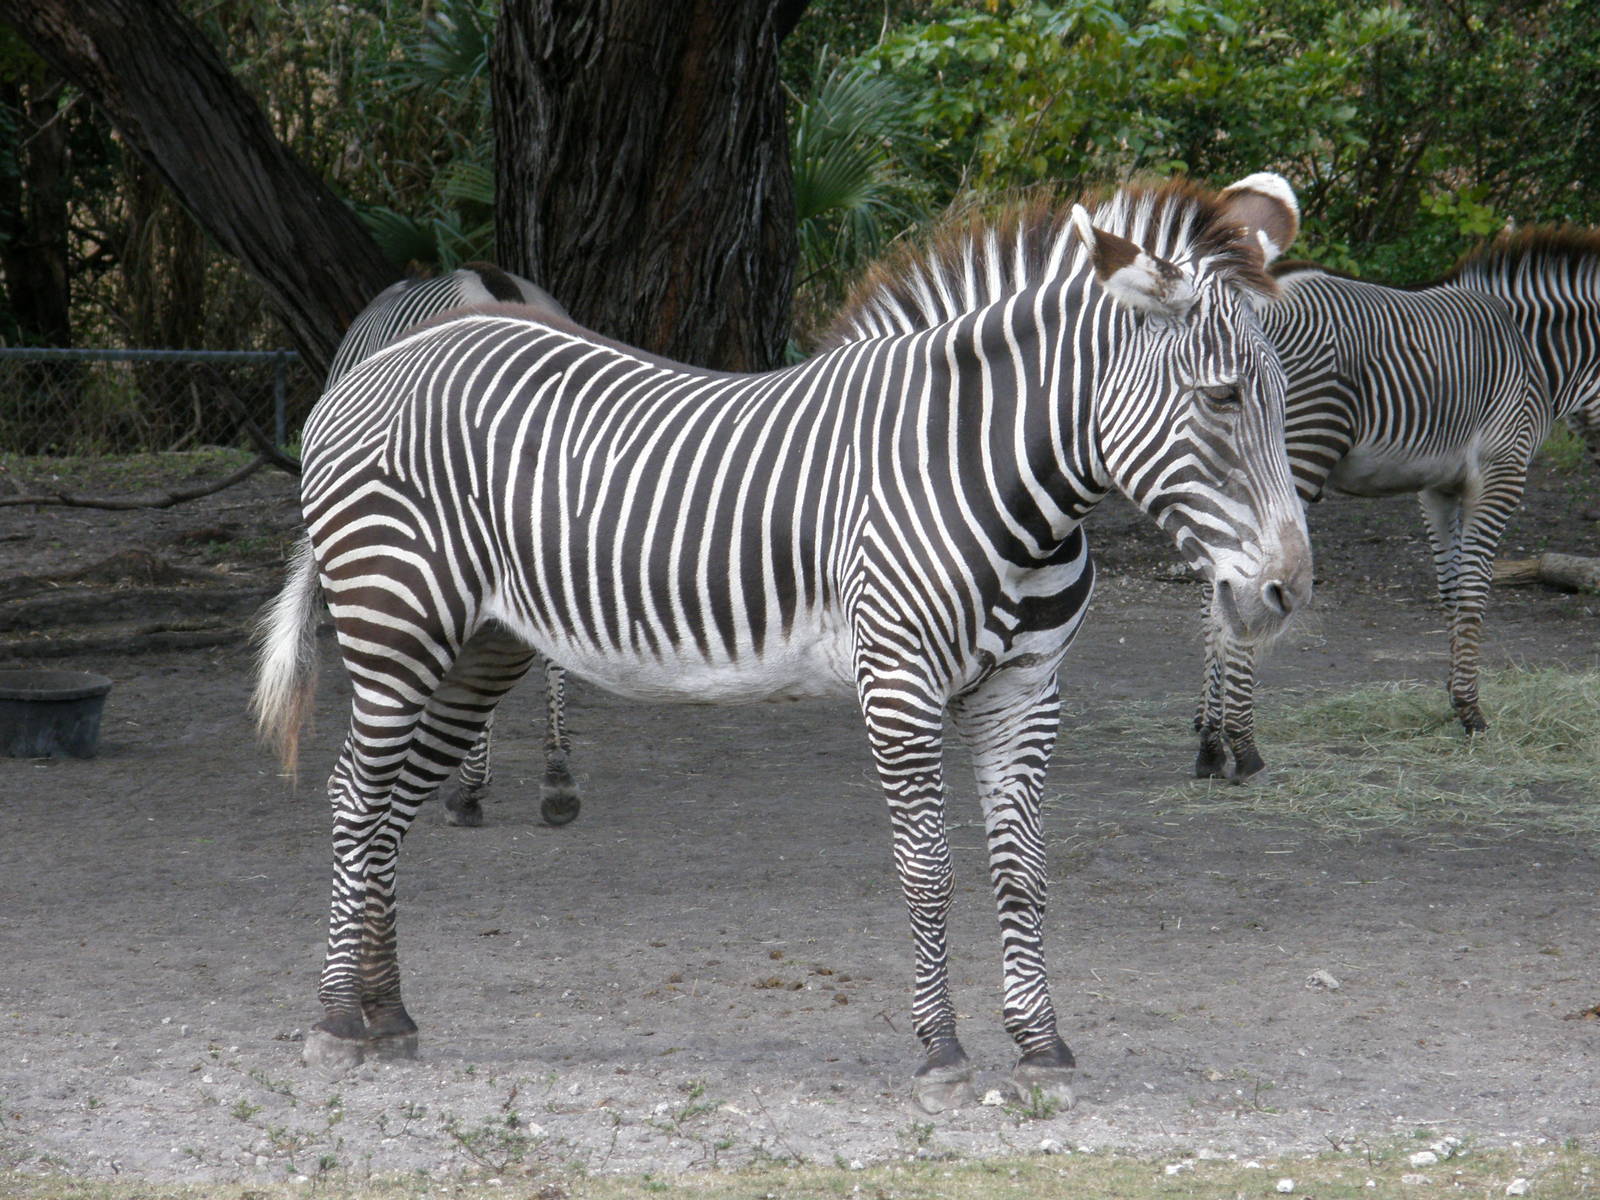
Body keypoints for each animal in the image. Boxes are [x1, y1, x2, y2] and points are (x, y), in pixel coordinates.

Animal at [1193, 261, 1552, 780]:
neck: (1534, 348)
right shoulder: (1501, 468)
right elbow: (1473, 588)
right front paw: (1471, 711)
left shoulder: (1439, 486)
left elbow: (1450, 588)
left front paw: (1454, 695)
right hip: (1295, 451)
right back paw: (1241, 745)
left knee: (1216, 588)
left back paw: (1208, 740)